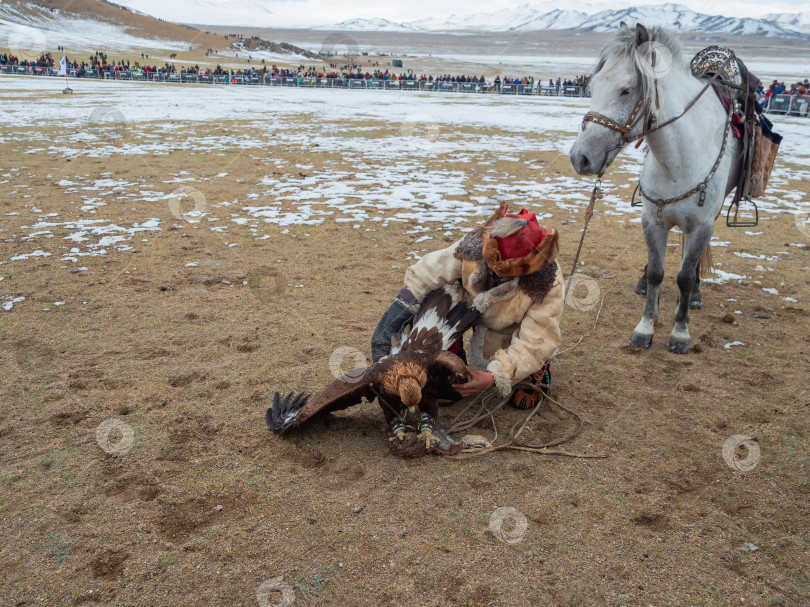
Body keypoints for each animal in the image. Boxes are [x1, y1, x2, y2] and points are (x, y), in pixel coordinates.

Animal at [568, 23, 740, 354]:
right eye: (592, 87)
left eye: (626, 90)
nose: (580, 158)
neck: (677, 161)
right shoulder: (652, 221)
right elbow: (657, 273)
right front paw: (645, 327)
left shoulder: (701, 225)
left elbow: (684, 276)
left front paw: (680, 333)